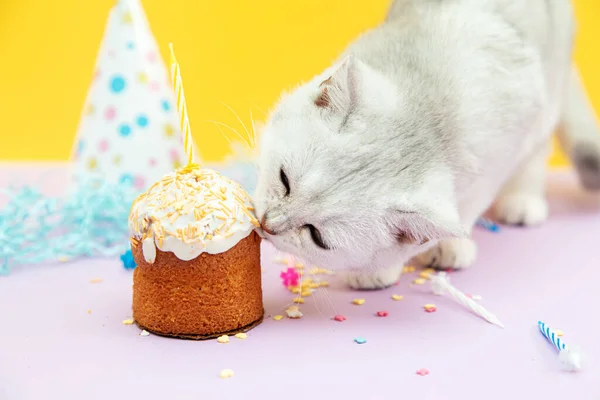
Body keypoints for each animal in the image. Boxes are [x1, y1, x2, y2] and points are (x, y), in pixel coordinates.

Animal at [252, 0, 600, 288]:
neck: (431, 109)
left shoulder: (499, 153)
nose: (268, 224)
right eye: (284, 179)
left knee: (536, 152)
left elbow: (465, 210)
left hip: (548, 92)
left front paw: (443, 248)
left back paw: (523, 201)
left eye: (316, 236)